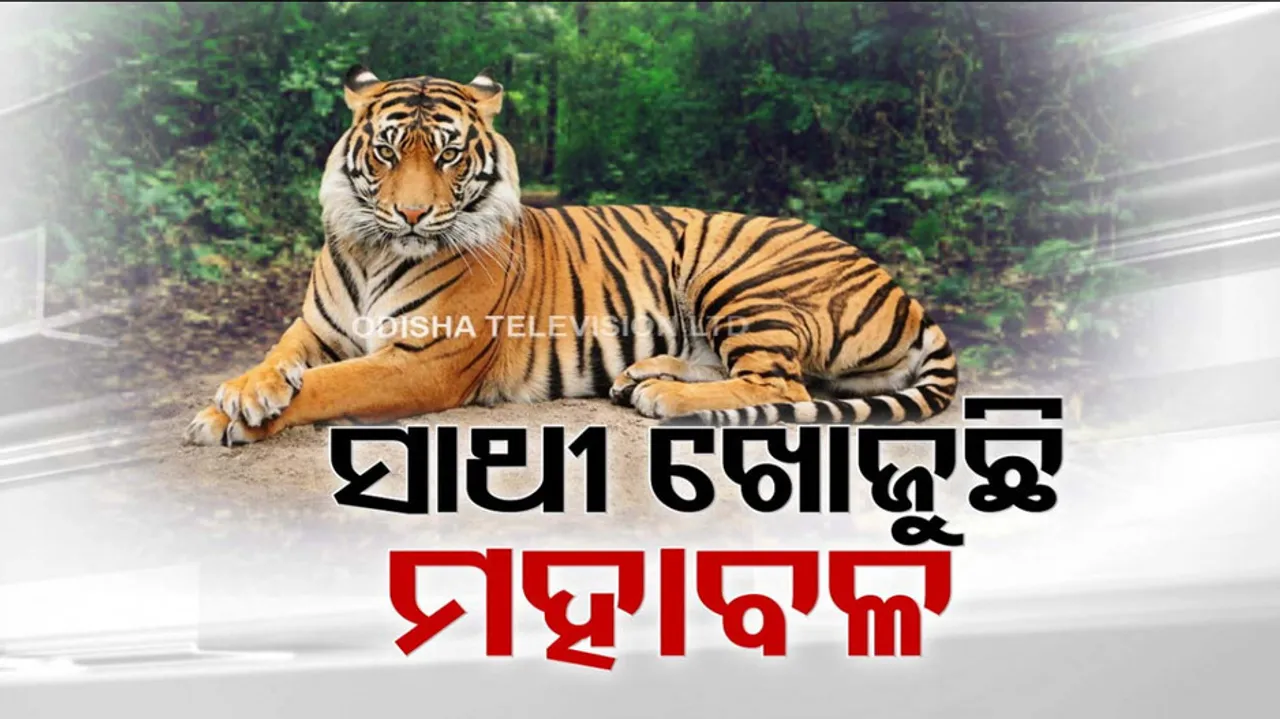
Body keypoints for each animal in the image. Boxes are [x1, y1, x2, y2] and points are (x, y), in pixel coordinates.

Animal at [184, 66, 959, 447]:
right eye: (386, 151)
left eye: (448, 155)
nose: (412, 214)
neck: (376, 250)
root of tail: (901, 288)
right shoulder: (314, 329)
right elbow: (279, 360)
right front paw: (239, 395)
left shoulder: (425, 359)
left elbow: (329, 385)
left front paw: (232, 417)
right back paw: (643, 374)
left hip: (740, 274)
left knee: (783, 386)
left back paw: (664, 395)